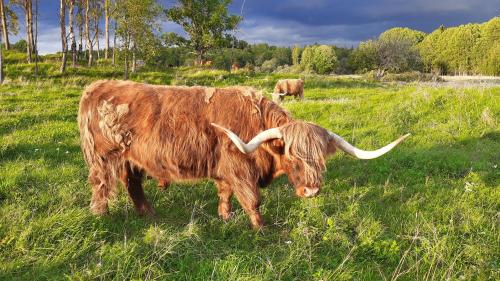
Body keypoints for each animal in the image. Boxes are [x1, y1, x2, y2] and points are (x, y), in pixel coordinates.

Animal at [77, 80, 406, 229]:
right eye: (293, 157)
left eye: (322, 159)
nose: (311, 191)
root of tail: (96, 86)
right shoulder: (240, 169)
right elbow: (252, 199)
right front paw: (260, 228)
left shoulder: (225, 171)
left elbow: (225, 193)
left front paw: (225, 216)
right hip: (103, 157)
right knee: (101, 185)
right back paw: (101, 215)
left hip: (131, 159)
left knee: (133, 184)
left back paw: (149, 214)